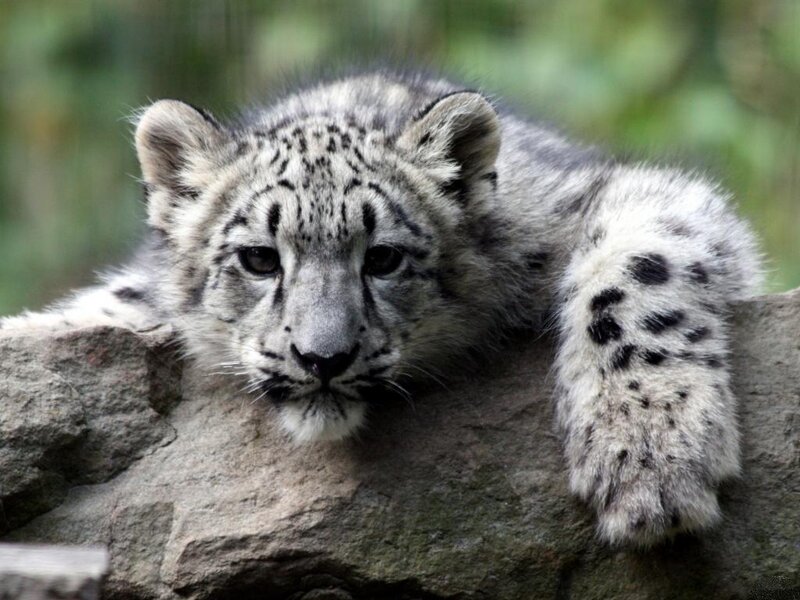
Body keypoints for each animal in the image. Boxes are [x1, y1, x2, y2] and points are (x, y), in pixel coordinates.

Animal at [0, 71, 762, 547]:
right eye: (259, 259)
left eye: (385, 258)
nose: (322, 357)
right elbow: (107, 307)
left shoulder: (623, 198)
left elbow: (635, 270)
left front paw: (650, 461)